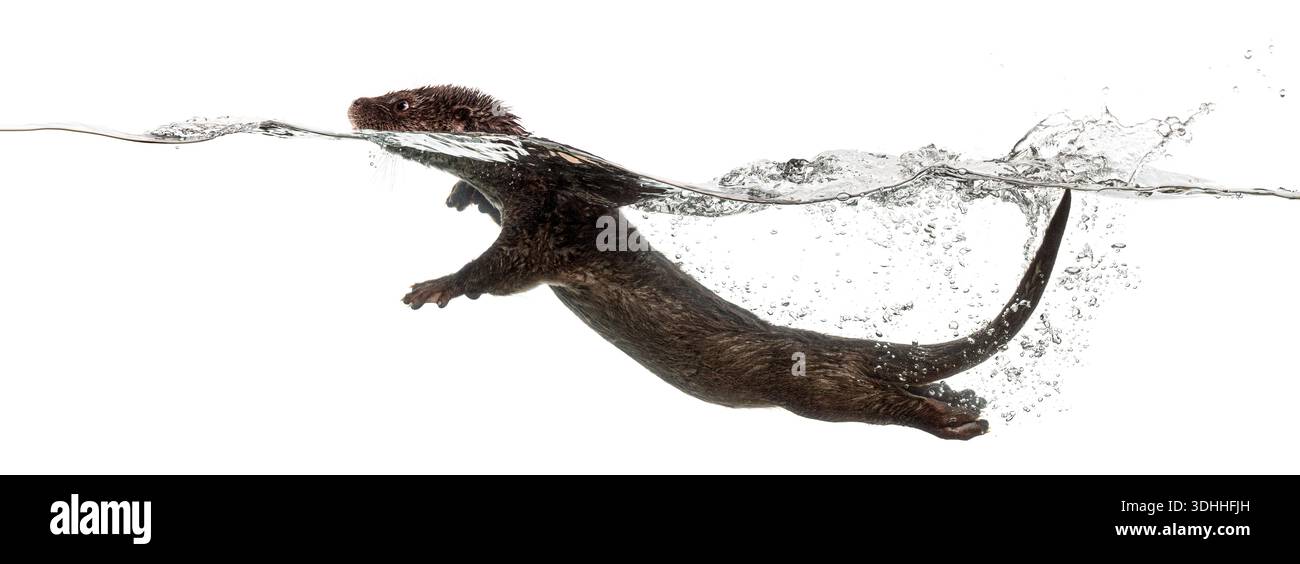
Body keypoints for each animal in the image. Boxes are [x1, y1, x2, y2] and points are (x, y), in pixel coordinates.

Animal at [348, 84, 1071, 439]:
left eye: (401, 105)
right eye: (394, 87)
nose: (355, 104)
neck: (528, 179)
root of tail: (838, 347)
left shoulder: (551, 226)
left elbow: (502, 274)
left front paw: (439, 284)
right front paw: (465, 193)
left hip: (817, 390)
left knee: (879, 402)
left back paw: (954, 421)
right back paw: (964, 398)